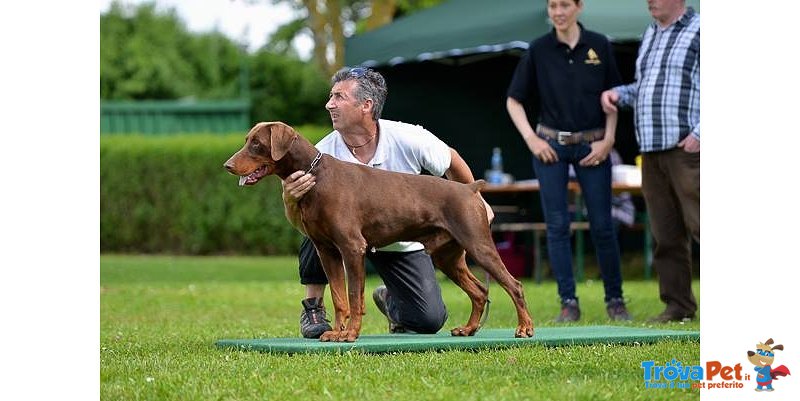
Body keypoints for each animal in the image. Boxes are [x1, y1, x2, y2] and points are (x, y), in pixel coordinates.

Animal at [225, 121, 536, 340]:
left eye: (256, 143)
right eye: (247, 141)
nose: (227, 165)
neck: (315, 174)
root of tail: (470, 189)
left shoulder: (352, 248)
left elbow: (354, 295)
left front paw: (350, 334)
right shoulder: (327, 251)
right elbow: (338, 297)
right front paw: (336, 332)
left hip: (478, 245)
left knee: (514, 285)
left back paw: (524, 328)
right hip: (448, 257)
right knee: (480, 291)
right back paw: (469, 329)